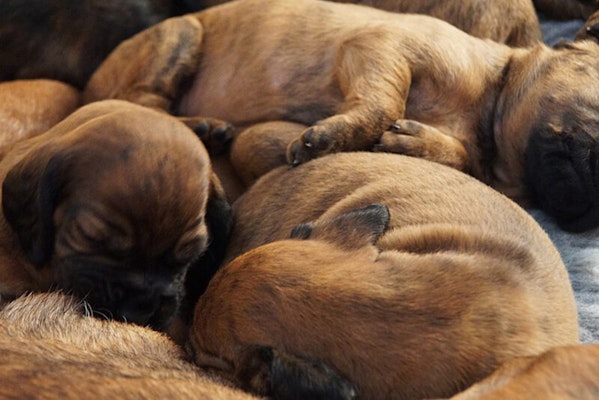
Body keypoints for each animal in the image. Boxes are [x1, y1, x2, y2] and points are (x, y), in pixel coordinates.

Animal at [83, 0, 599, 231]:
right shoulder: (382, 48)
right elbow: (385, 101)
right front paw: (335, 137)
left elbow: (451, 153)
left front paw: (415, 143)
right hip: (181, 36)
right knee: (141, 101)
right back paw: (199, 127)